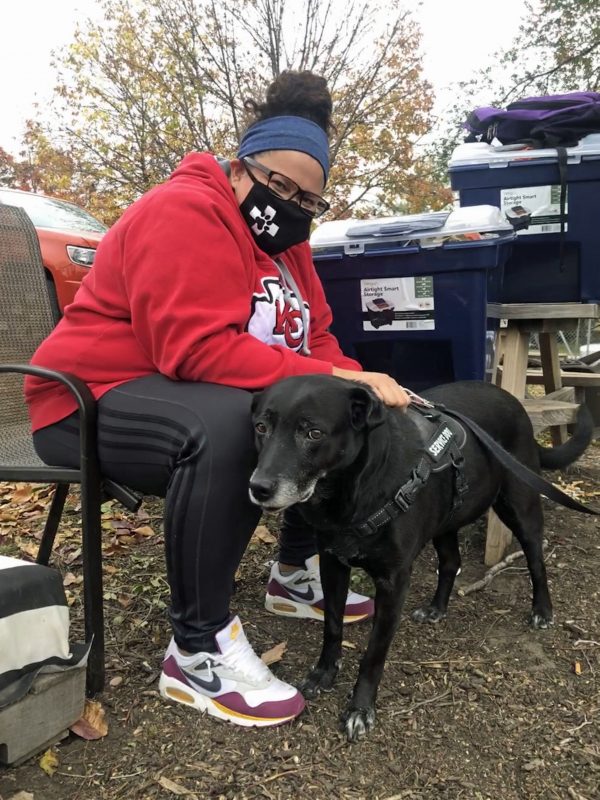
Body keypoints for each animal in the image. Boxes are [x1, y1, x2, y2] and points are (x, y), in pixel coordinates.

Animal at [250, 378, 596, 740]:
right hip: (447, 519)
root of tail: (511, 399)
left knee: (536, 560)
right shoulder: (333, 566)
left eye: (314, 433)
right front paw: (323, 674)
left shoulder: (393, 583)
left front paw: (361, 708)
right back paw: (437, 608)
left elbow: (374, 653)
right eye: (261, 427)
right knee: (451, 562)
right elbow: (332, 627)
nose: (258, 487)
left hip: (520, 506)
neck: (352, 492)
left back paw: (542, 610)